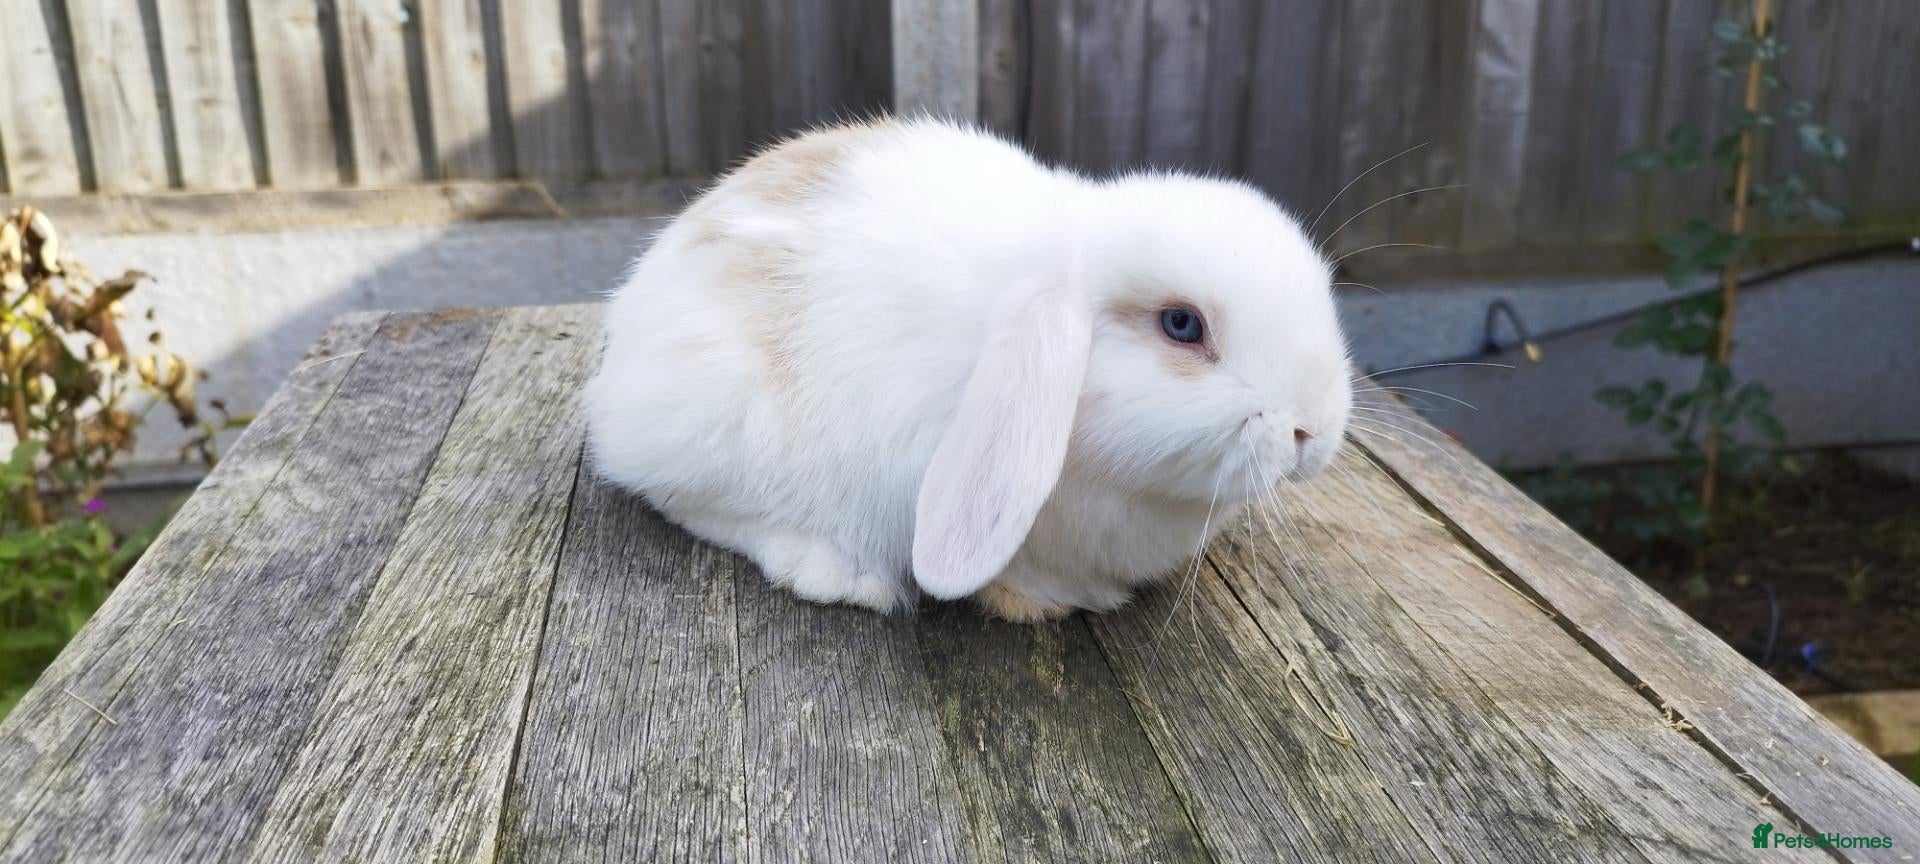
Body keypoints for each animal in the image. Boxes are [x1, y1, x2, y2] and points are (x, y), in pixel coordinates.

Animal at [582, 116, 1352, 621]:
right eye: (1182, 325)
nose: (1315, 432)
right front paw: (1052, 598)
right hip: (721, 420)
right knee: (693, 506)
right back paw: (837, 571)